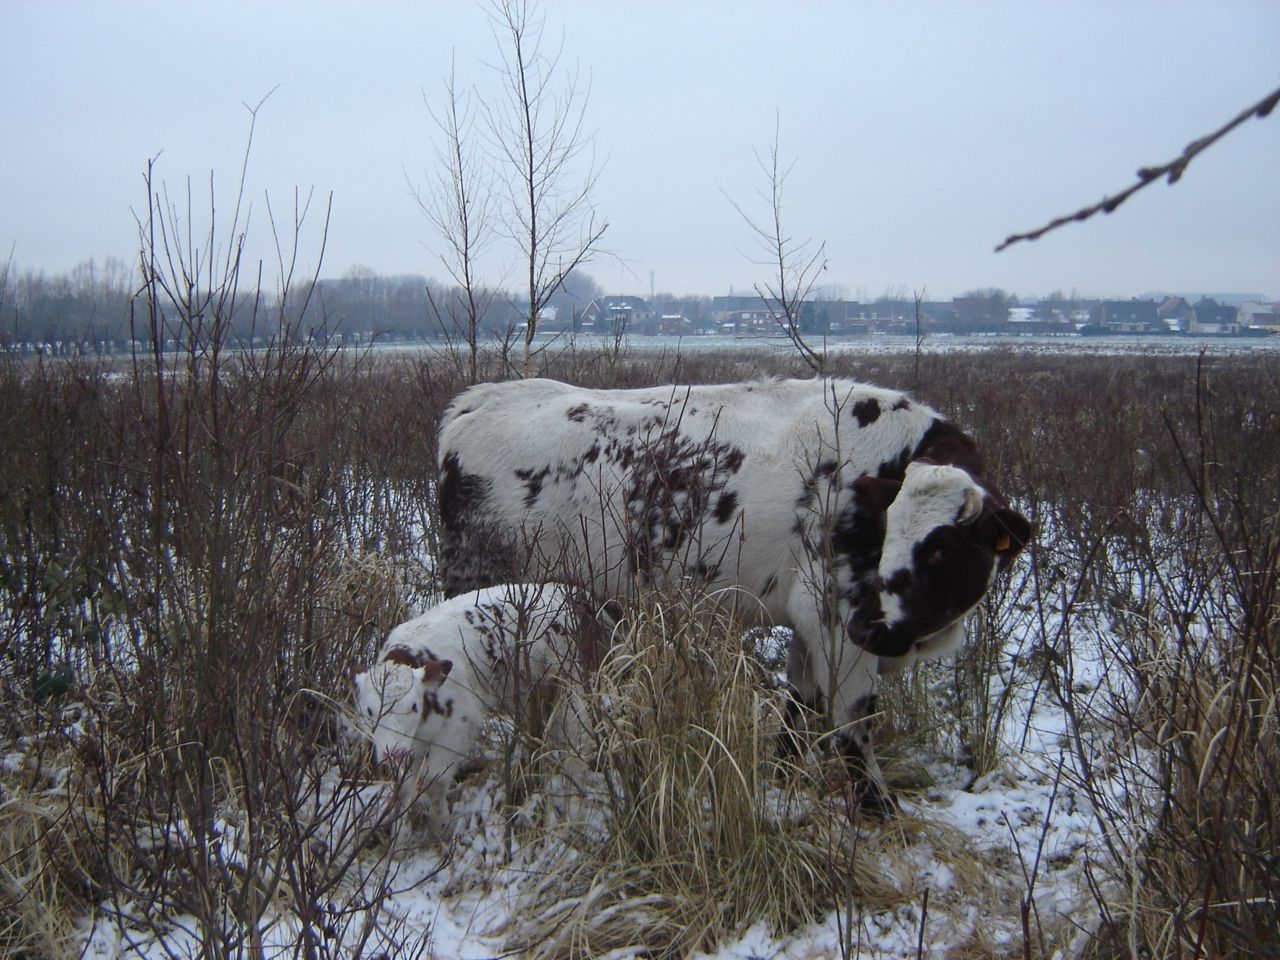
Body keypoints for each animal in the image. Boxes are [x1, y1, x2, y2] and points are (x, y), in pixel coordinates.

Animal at [353, 583, 601, 839]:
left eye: (413, 706)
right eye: (370, 711)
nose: (394, 753)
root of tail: (563, 589)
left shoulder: (459, 726)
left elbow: (435, 780)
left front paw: (441, 826)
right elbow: (403, 787)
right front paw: (400, 837)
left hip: (569, 681)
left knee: (577, 740)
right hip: (530, 691)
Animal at [437, 376, 1029, 814]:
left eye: (942, 549)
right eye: (890, 528)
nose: (873, 627)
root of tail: (477, 400)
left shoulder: (813, 623)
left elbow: (800, 704)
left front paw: (782, 776)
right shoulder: (834, 619)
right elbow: (852, 722)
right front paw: (878, 808)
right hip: (477, 595)